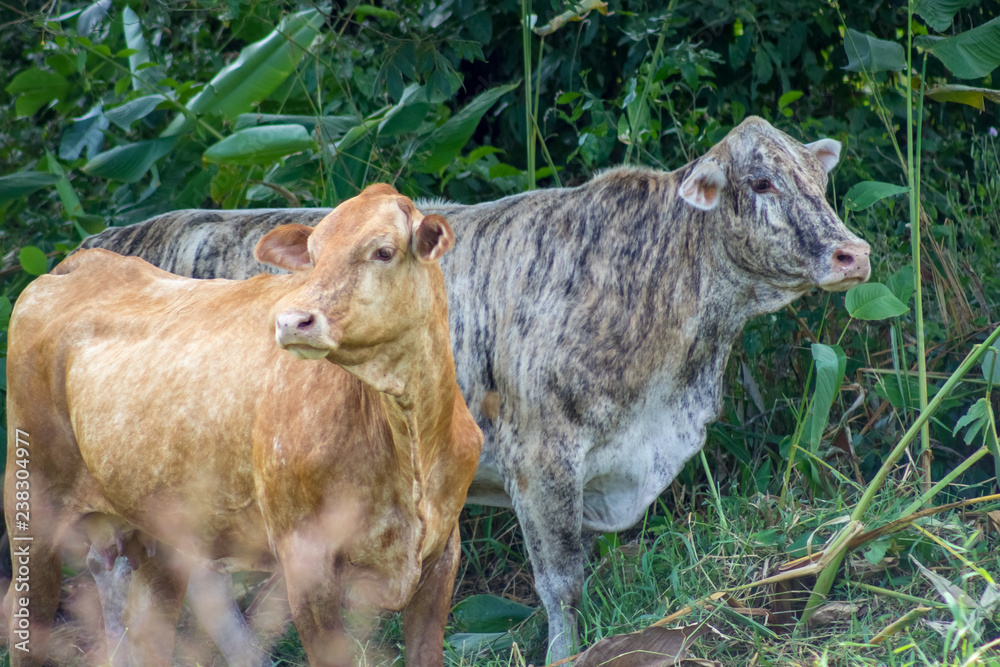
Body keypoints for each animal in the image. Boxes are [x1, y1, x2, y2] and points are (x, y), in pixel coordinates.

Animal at [4, 184, 483, 666]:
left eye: (383, 251)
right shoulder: (304, 556)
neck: (409, 441)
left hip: (159, 526)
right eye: (312, 255)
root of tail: (77, 263)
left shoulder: (443, 552)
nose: (292, 321)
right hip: (32, 502)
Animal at [77, 116, 871, 659]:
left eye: (819, 181)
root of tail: (102, 242)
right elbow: (561, 582)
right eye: (761, 183)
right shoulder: (543, 457)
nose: (853, 253)